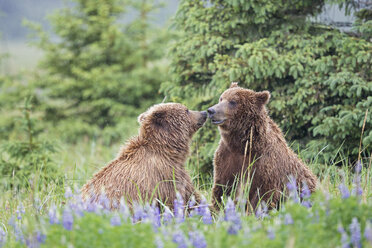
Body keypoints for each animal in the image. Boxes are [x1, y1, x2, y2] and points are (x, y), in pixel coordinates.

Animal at [206, 83, 316, 211]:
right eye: (221, 98)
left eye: (233, 101)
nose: (211, 110)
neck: (242, 145)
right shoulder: (226, 157)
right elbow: (222, 187)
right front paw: (217, 208)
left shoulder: (264, 164)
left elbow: (262, 195)